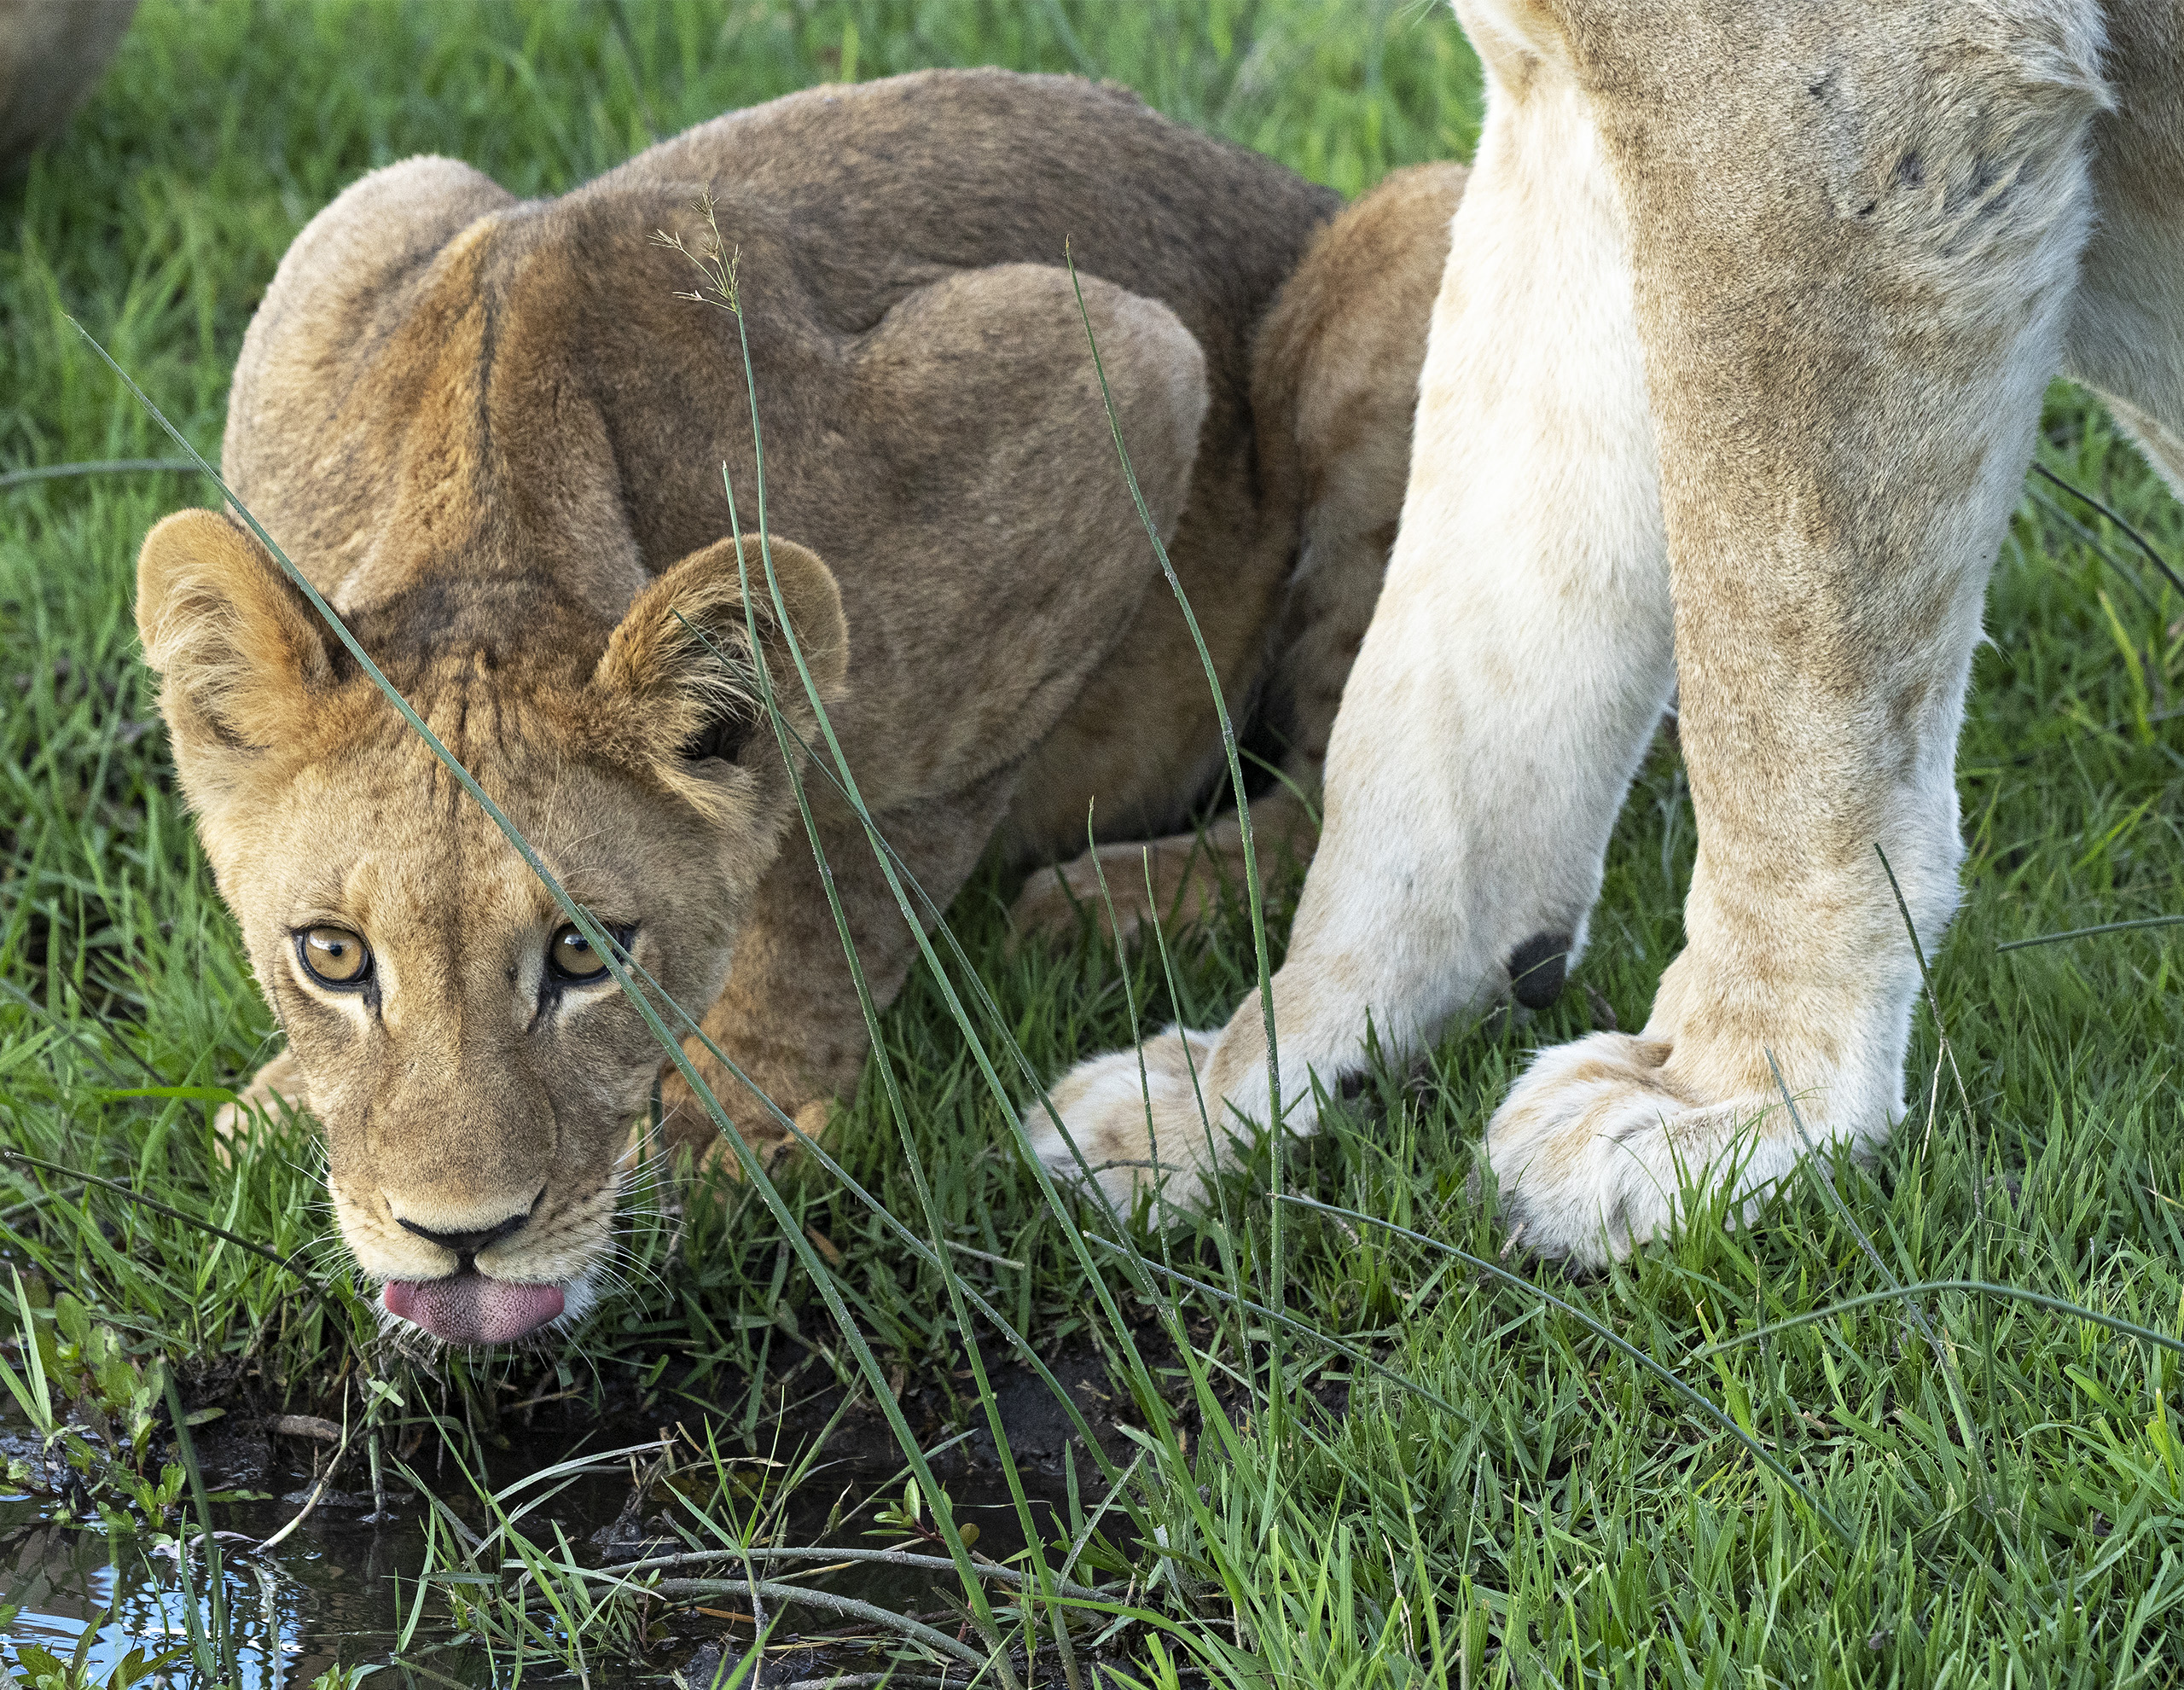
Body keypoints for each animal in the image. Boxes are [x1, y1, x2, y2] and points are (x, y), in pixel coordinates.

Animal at [133, 69, 1464, 1344]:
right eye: (332, 955)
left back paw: (1115, 902)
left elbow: (852, 864)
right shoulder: (365, 225)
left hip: (1427, 241)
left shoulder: (1111, 372)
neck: (497, 489)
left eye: (583, 951)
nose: (461, 1240)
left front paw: (729, 1114)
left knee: (1350, 806)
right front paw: (281, 1101)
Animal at [1034, 0, 2184, 1266]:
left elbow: (1779, 688)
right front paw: (1230, 1093)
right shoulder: (1557, 116)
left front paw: (1736, 1102)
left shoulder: (1829, 105)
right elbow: (1423, 703)